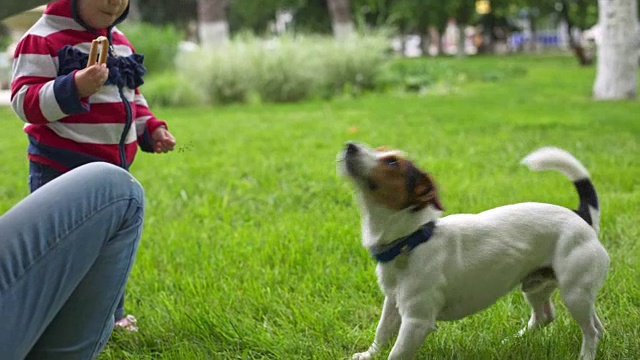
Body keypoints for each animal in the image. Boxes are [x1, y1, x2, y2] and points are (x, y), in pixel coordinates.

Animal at [338, 143, 608, 360]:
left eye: (392, 162)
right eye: (380, 150)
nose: (350, 145)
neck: (413, 239)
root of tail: (581, 215)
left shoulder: (416, 322)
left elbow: (397, 353)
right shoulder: (392, 302)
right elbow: (382, 332)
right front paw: (368, 354)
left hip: (574, 292)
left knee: (590, 330)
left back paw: (586, 355)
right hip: (539, 287)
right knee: (551, 317)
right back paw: (515, 340)